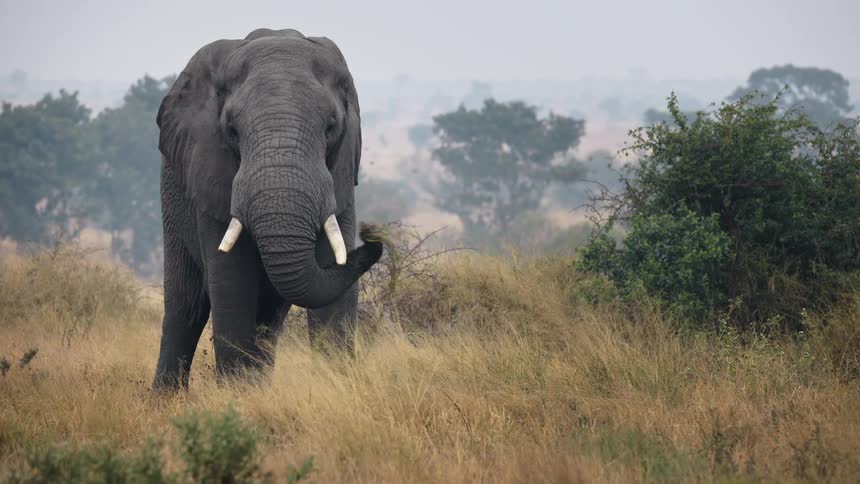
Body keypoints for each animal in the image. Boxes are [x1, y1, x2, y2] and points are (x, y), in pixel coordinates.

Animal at [152, 28, 383, 391]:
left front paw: (337, 384)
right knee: (186, 306)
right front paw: (238, 396)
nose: (372, 238)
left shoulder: (341, 178)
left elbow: (335, 290)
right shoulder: (212, 178)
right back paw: (165, 398)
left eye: (331, 127)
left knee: (269, 314)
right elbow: (232, 284)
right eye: (232, 131)